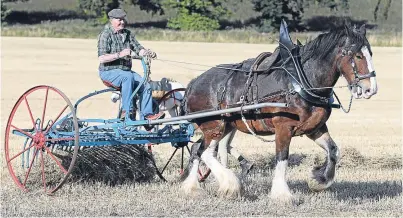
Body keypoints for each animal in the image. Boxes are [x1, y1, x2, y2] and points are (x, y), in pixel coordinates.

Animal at [180, 21, 378, 202]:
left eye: (370, 53)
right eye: (358, 55)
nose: (371, 89)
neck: (301, 80)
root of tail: (193, 84)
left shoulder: (315, 128)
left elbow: (333, 150)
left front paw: (319, 180)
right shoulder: (283, 128)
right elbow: (282, 158)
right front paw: (282, 195)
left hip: (223, 126)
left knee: (198, 149)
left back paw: (193, 188)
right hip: (214, 125)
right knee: (204, 152)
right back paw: (229, 184)